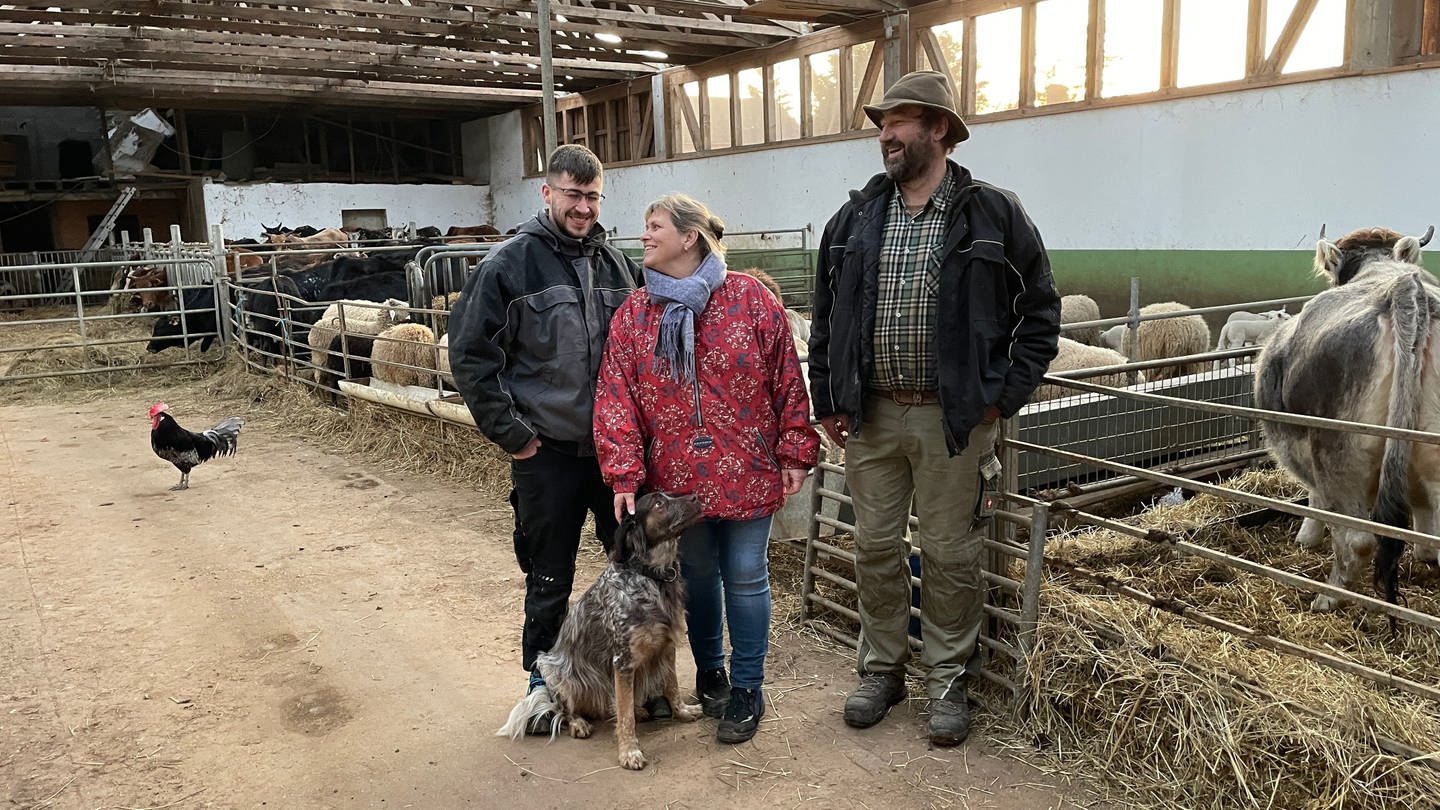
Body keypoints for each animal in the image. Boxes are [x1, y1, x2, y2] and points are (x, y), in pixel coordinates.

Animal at [498, 490, 705, 766]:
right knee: (564, 708)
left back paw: (638, 709)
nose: (695, 497)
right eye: (659, 503)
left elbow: (671, 686)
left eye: (671, 494)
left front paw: (682, 712)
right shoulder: (623, 661)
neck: (650, 576)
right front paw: (629, 752)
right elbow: (625, 717)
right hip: (550, 667)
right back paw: (578, 723)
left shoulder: (666, 646)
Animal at [1255, 220, 1434, 605]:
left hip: (1336, 450)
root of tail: (1403, 289)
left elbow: (1315, 498)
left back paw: (1327, 597)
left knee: (1357, 541)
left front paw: (1306, 537)